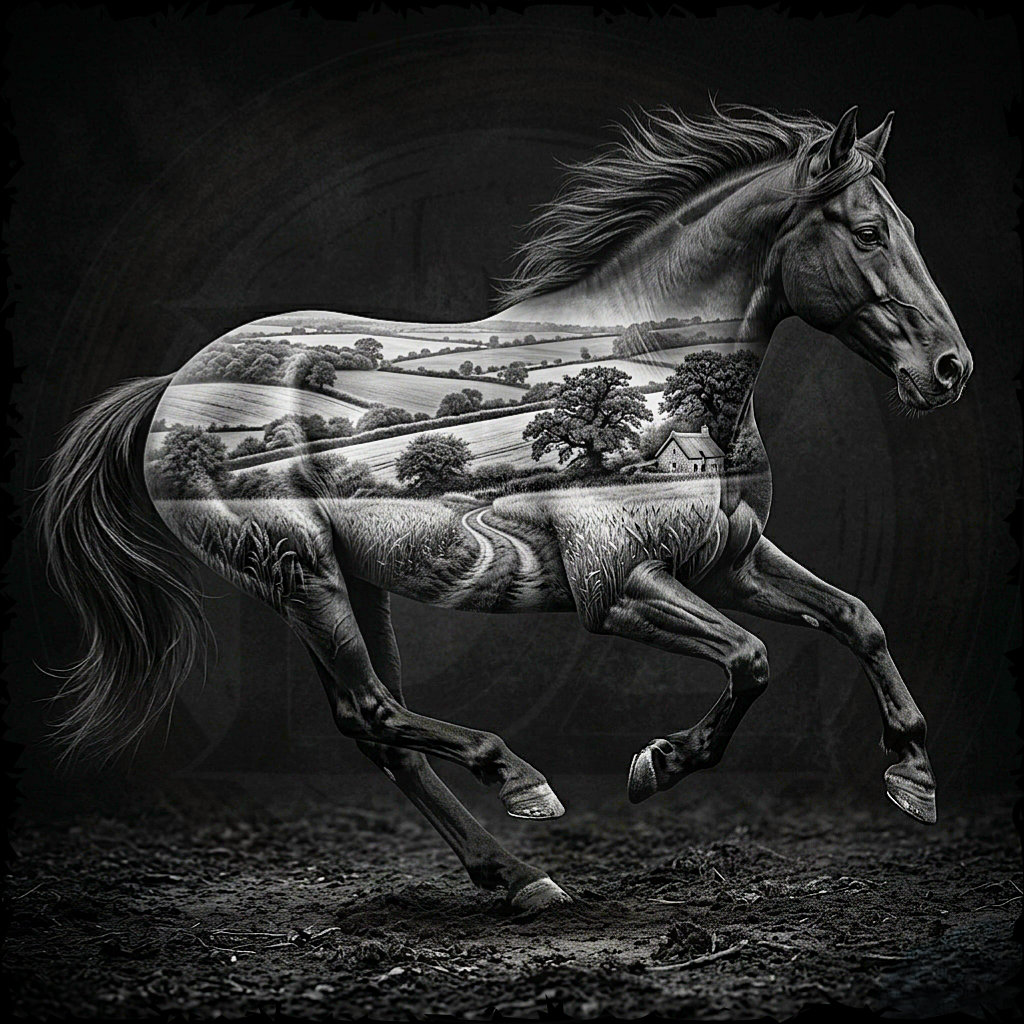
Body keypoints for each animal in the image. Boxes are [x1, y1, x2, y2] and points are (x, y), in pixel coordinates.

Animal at [39, 104, 972, 915]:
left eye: (910, 228)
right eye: (868, 232)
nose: (949, 369)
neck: (673, 385)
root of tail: (172, 387)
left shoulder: (731, 561)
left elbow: (856, 619)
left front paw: (913, 781)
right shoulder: (620, 585)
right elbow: (750, 659)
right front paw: (659, 763)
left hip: (352, 585)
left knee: (373, 728)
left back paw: (519, 879)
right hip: (300, 576)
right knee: (374, 710)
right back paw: (521, 786)